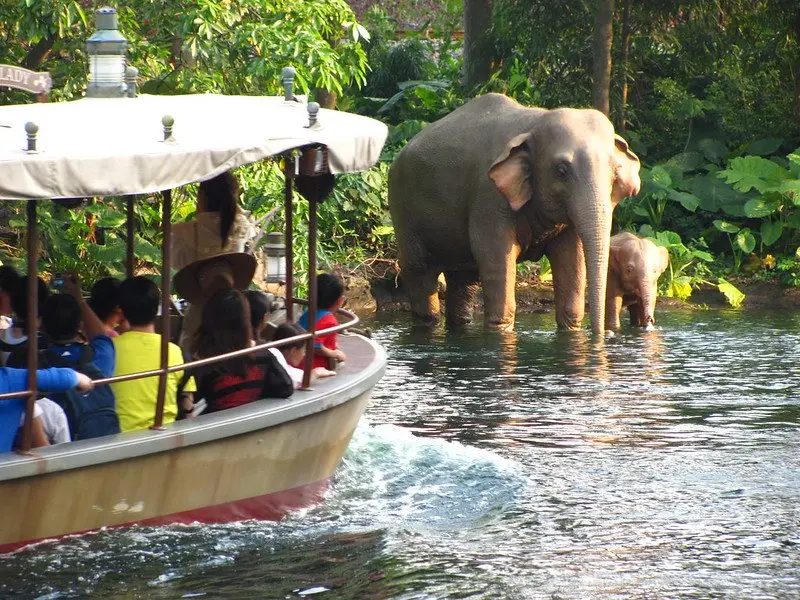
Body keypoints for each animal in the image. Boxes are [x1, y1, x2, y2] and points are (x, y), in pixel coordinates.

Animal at [384, 96, 640, 336]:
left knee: (464, 280)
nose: (606, 333)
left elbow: (572, 260)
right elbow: (493, 257)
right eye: (561, 170)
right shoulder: (488, 197)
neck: (534, 122)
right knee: (420, 272)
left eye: (615, 171)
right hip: (403, 209)